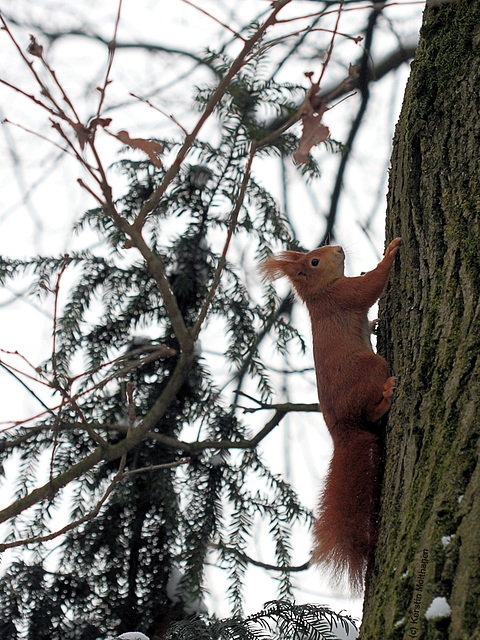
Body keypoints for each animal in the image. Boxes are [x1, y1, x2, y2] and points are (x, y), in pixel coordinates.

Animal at [258, 238, 402, 592]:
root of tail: (342, 430)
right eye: (314, 262)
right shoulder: (343, 294)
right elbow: (370, 286)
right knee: (372, 410)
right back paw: (387, 396)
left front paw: (375, 325)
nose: (338, 248)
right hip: (372, 368)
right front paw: (390, 253)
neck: (319, 293)